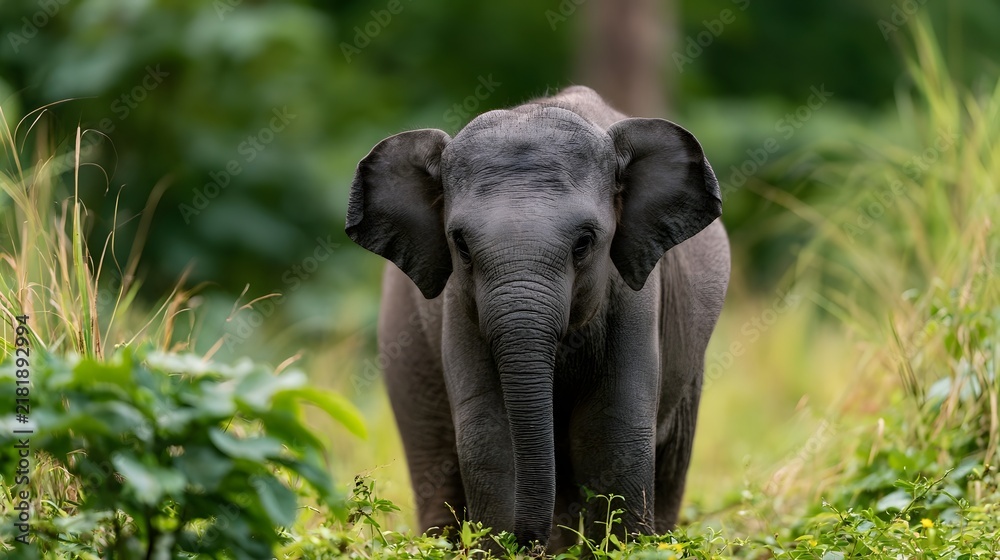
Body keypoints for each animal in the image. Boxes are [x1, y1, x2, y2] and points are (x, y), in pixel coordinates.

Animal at [345, 85, 729, 551]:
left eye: (584, 243)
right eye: (461, 245)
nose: (528, 541)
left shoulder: (634, 296)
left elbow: (612, 431)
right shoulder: (459, 305)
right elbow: (490, 437)